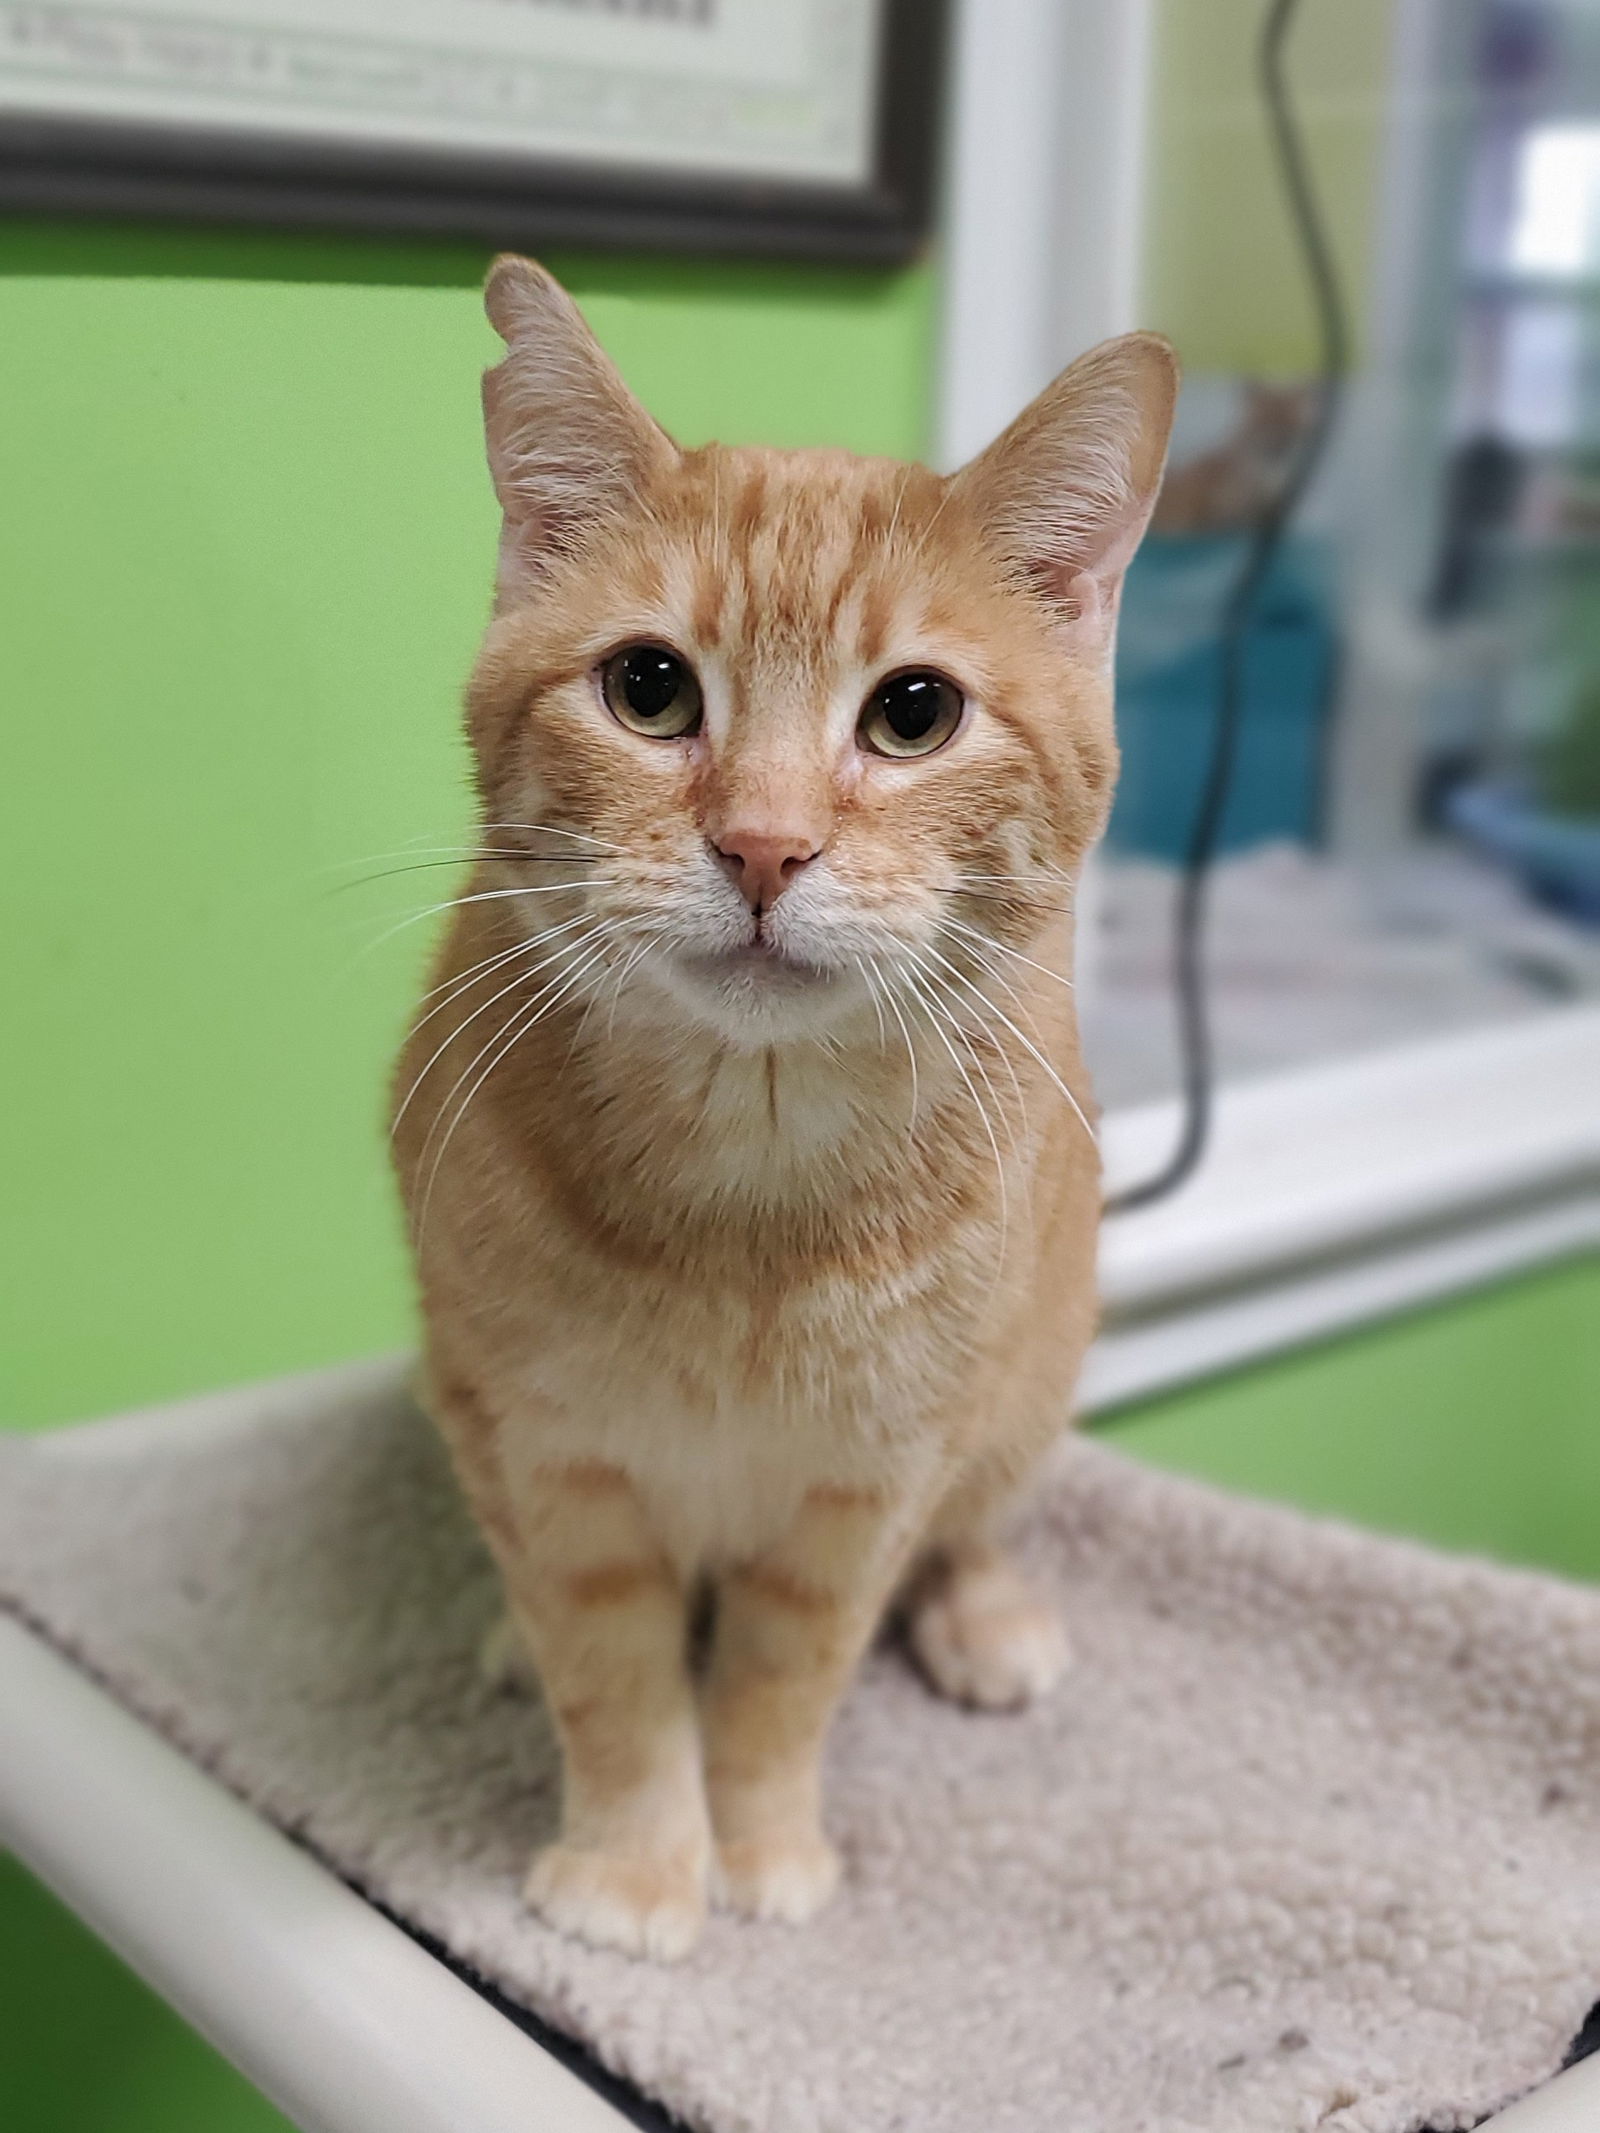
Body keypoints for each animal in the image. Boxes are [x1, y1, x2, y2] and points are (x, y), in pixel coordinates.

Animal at [392, 258, 1177, 1953]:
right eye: (647, 688)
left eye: (914, 713)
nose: (761, 846)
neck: (743, 1203)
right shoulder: (548, 1457)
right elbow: (613, 1678)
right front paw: (633, 1865)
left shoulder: (864, 1490)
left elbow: (776, 1681)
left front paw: (753, 1846)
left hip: (1033, 1381)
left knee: (984, 1517)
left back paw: (989, 1615)